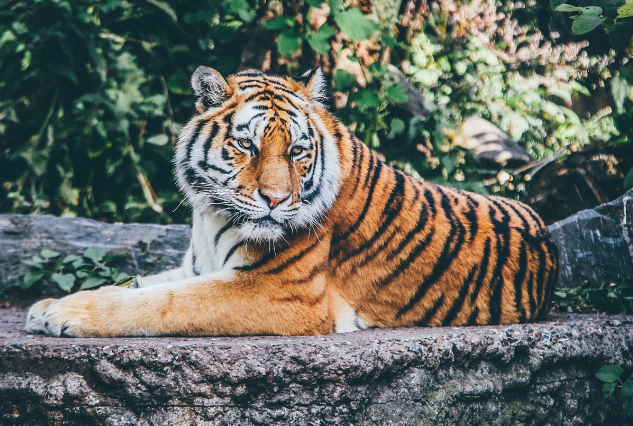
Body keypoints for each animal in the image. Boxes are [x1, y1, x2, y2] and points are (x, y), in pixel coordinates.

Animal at [24, 68, 556, 338]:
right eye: (247, 145)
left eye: (298, 151)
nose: (277, 200)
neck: (210, 215)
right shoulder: (198, 266)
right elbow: (138, 284)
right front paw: (47, 305)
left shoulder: (280, 291)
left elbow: (163, 302)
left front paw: (66, 315)